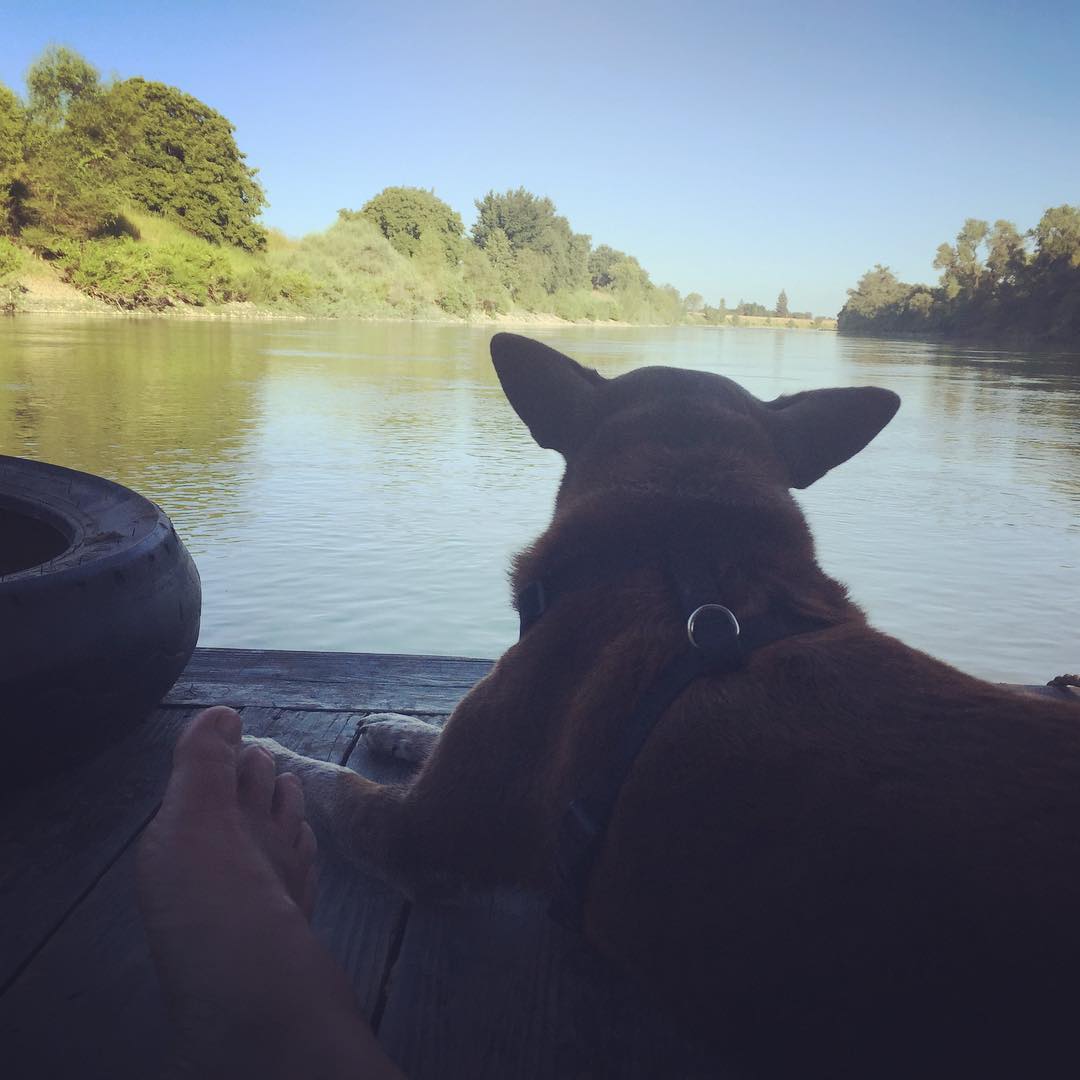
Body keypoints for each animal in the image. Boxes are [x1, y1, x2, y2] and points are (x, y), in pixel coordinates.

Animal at [259, 332, 1080, 1075]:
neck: (679, 547)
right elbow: (431, 732)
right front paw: (398, 724)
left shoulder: (422, 834)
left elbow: (322, 782)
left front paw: (262, 756)